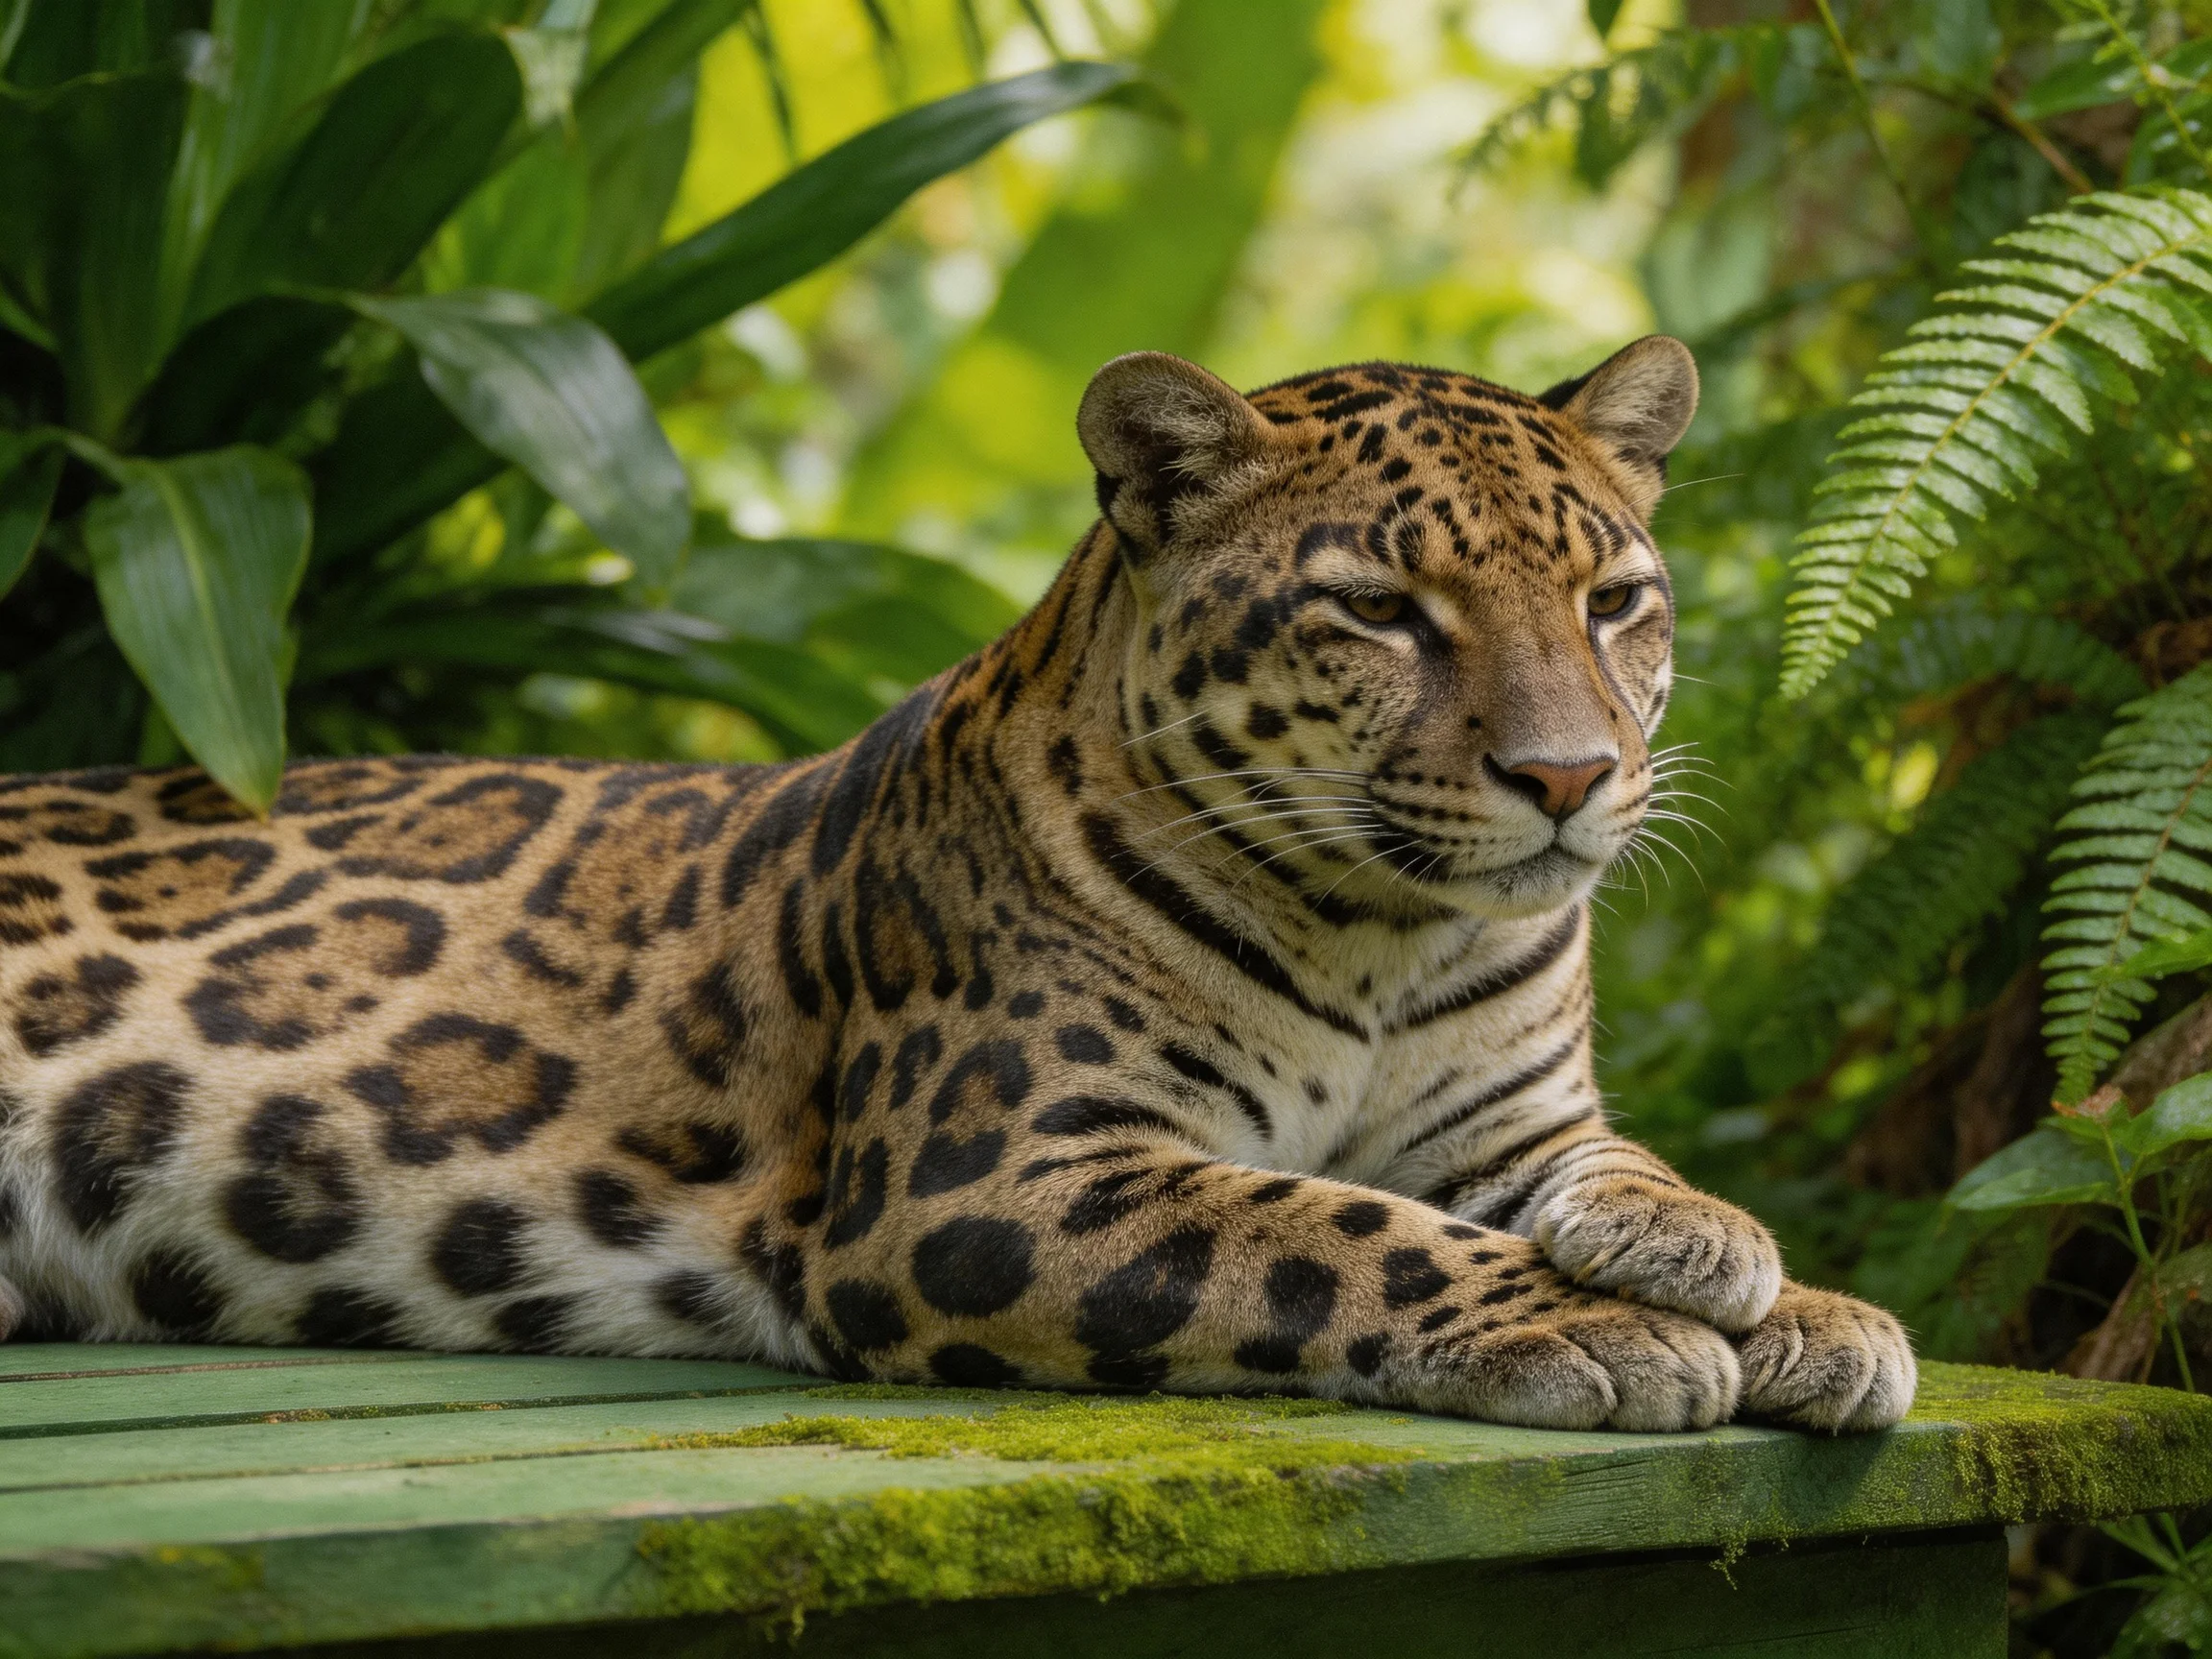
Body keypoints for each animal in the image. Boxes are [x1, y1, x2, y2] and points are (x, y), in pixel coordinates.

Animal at [0, 337, 1914, 1433]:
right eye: (1379, 610)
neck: (1388, 934)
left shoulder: (1507, 1124)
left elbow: (1598, 1167)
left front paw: (1772, 1283)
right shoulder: (988, 1176)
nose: (1569, 779)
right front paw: (1598, 1323)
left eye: (1612, 600)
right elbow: (1328, 1228)